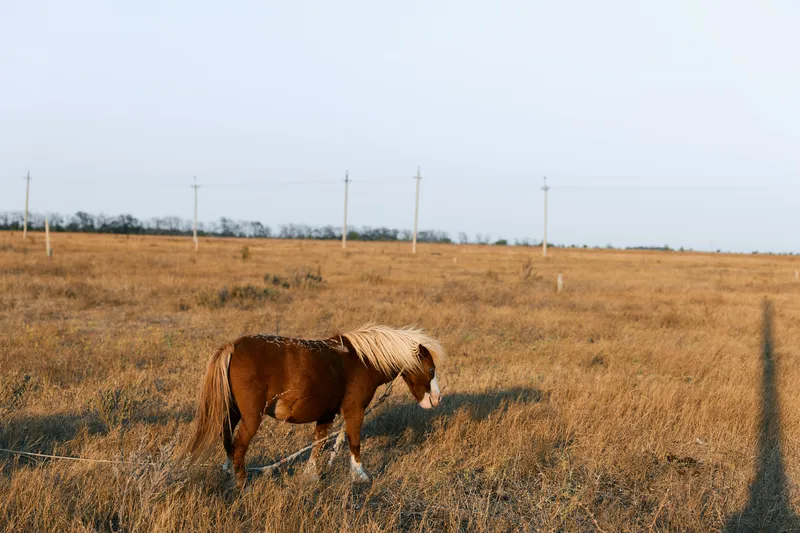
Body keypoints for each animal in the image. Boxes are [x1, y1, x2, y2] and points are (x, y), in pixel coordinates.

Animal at [185, 324, 445, 488]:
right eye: (431, 369)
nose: (437, 399)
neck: (363, 360)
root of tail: (234, 346)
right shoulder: (354, 411)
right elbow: (354, 443)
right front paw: (359, 476)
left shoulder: (327, 415)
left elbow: (318, 444)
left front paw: (311, 476)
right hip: (251, 417)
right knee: (239, 445)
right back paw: (241, 483)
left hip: (233, 412)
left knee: (227, 440)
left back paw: (229, 472)